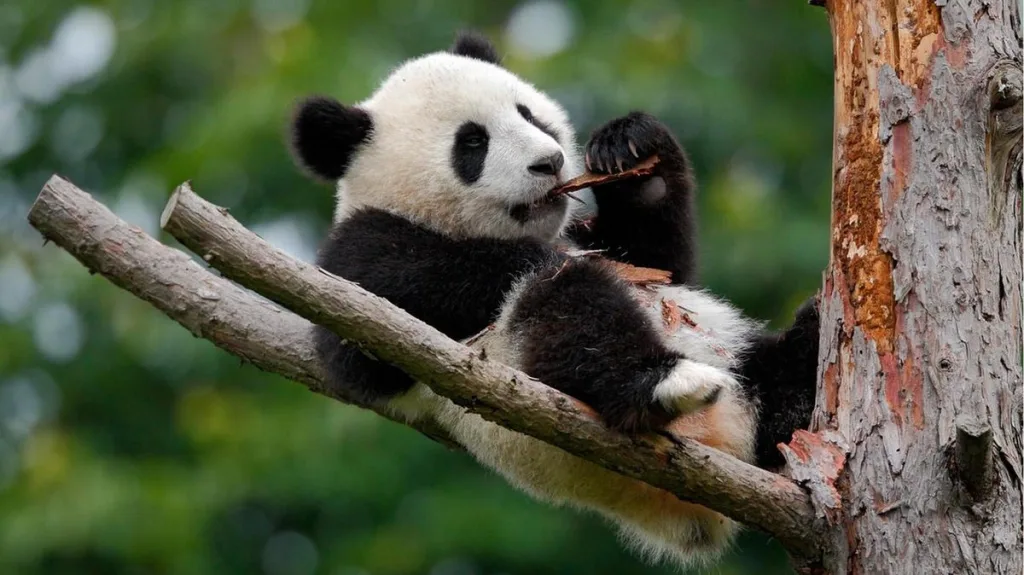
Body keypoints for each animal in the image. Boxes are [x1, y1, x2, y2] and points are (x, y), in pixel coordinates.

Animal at [288, 30, 819, 569]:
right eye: (472, 142)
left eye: (528, 114)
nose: (550, 161)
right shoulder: (357, 256)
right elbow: (365, 339)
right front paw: (527, 257)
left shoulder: (604, 239)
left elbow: (660, 261)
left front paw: (632, 148)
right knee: (570, 311)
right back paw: (661, 381)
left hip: (740, 362)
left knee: (773, 373)